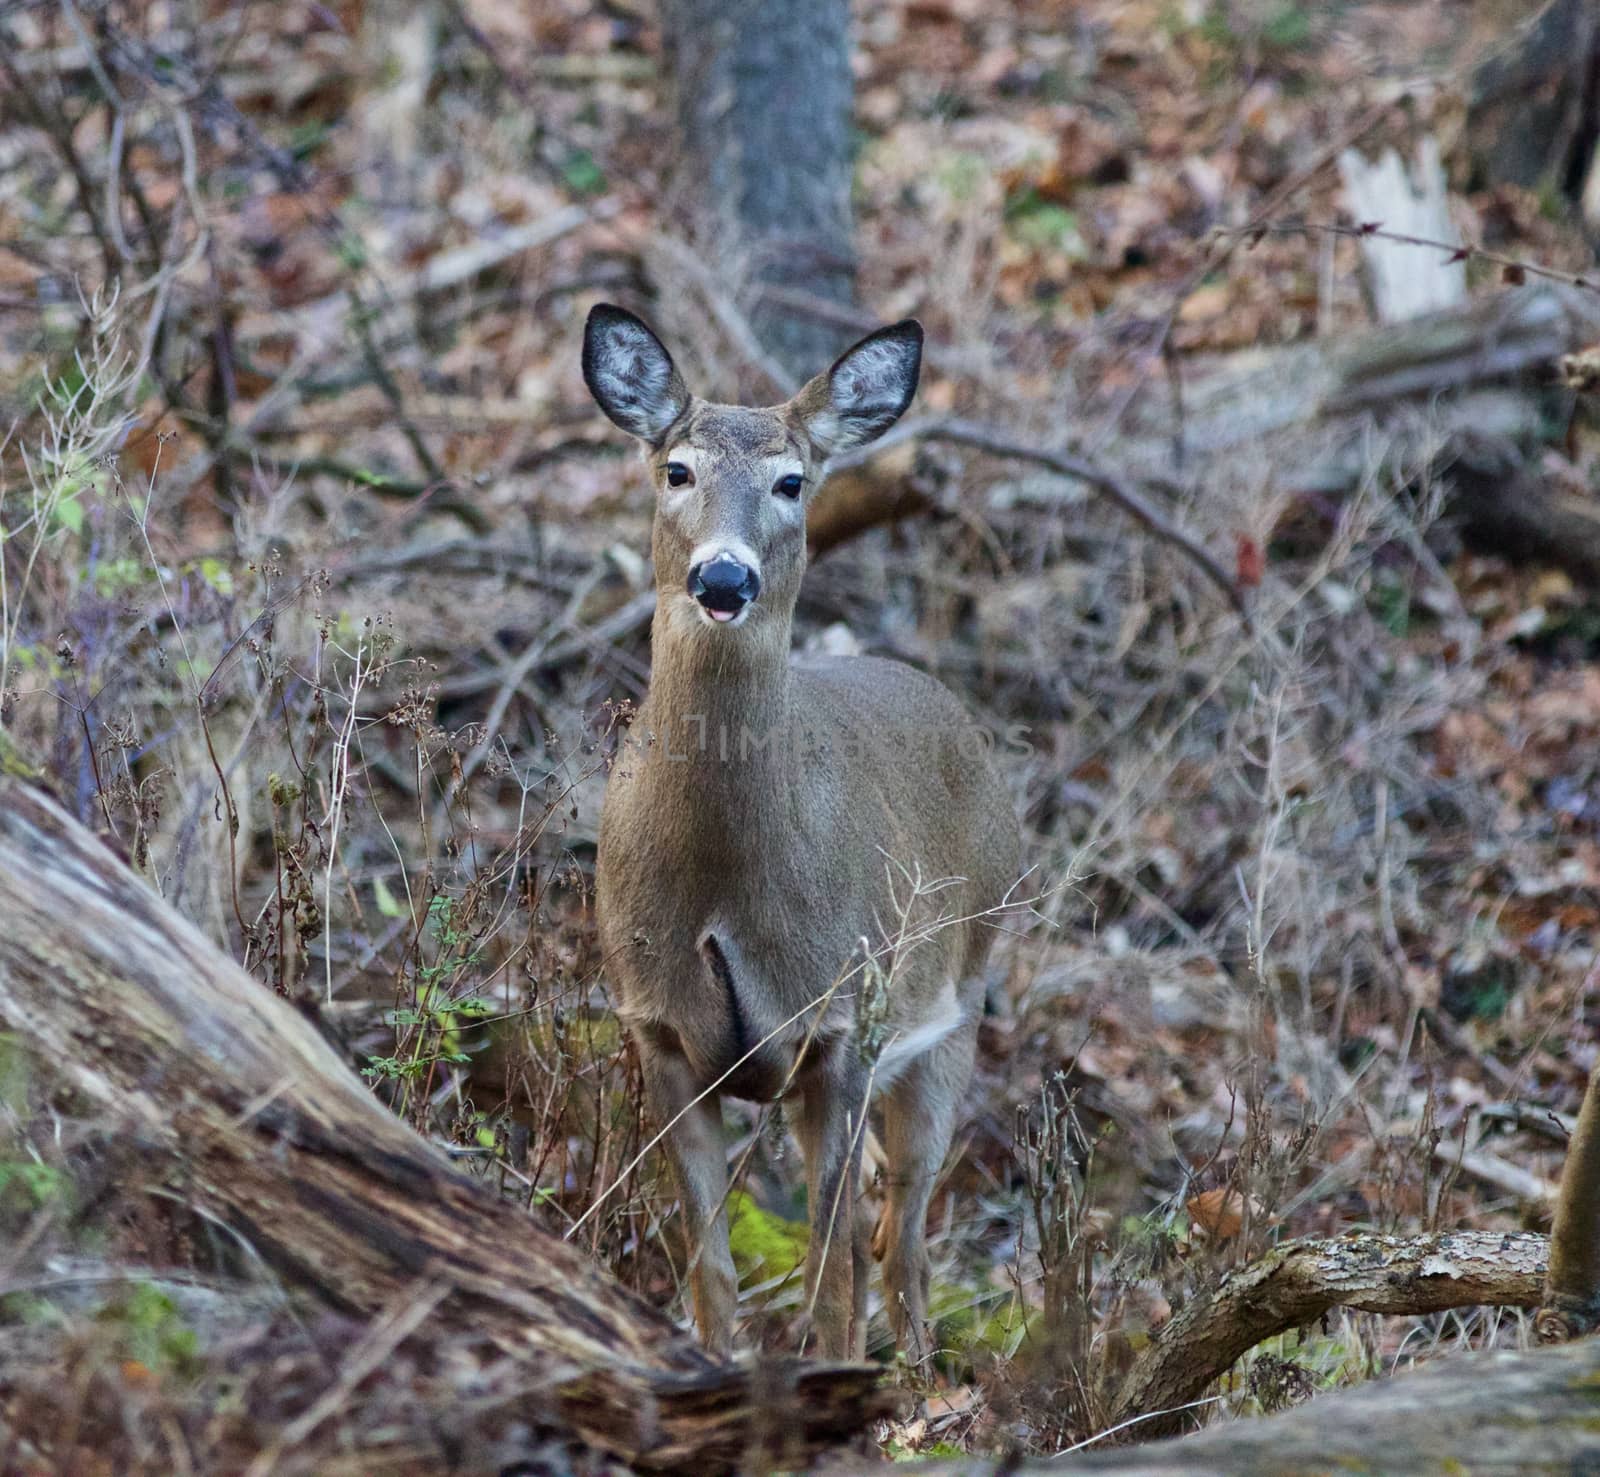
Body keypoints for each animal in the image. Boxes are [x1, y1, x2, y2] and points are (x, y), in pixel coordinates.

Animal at [582, 300, 1017, 1363]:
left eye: (791, 481)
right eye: (676, 468)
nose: (723, 576)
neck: (723, 882)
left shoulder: (840, 1024)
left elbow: (831, 1272)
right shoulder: (655, 1023)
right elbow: (711, 1266)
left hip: (957, 1001)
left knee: (902, 1235)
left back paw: (919, 1375)